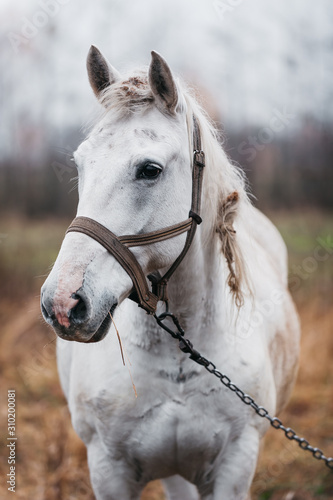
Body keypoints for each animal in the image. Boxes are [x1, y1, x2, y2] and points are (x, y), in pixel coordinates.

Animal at [40, 47, 300, 500]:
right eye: (80, 164)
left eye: (150, 169)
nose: (62, 302)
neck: (176, 358)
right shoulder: (108, 470)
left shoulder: (235, 466)